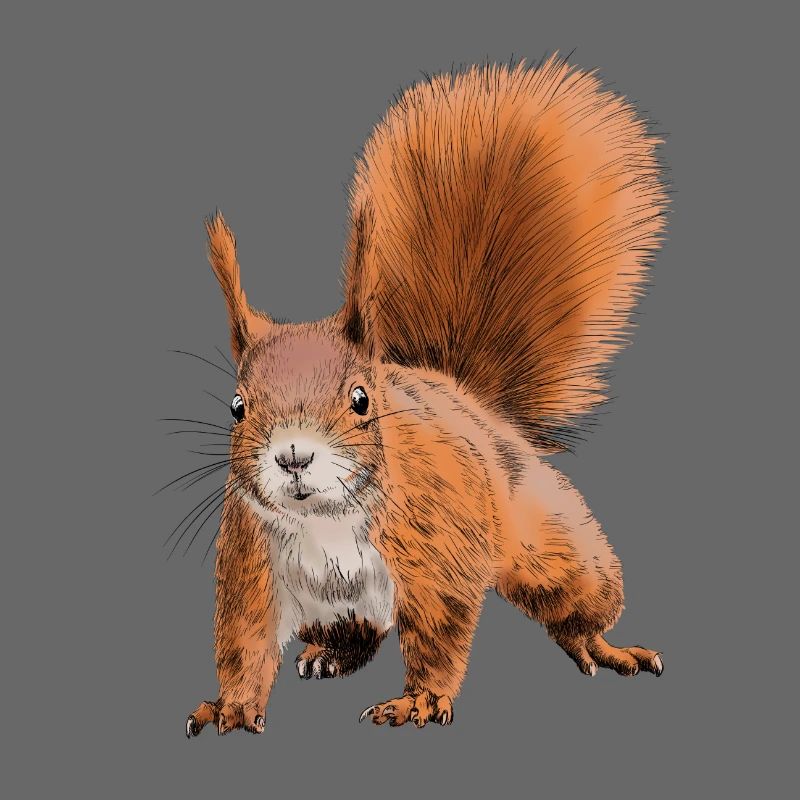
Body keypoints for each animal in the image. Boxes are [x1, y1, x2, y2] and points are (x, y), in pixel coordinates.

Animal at [183, 55, 667, 737]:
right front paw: (229, 704)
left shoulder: (438, 543)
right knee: (356, 633)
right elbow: (244, 640)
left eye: (362, 399)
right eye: (237, 407)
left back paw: (601, 644)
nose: (293, 456)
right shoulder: (251, 560)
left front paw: (418, 701)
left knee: (575, 593)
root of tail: (463, 394)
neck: (324, 520)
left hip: (547, 538)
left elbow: (440, 628)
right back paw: (327, 654)